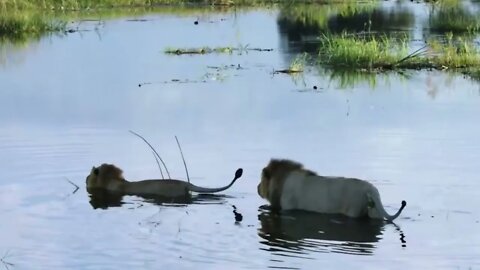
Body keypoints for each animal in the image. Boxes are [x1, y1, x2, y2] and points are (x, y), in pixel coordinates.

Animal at [256, 158, 406, 221]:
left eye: (261, 179)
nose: (257, 187)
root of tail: (371, 189)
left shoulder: (288, 207)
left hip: (353, 210)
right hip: (374, 211)